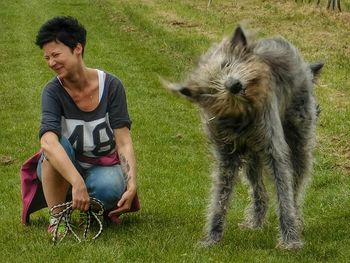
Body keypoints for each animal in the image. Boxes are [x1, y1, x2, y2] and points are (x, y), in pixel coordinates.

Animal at [163, 24, 322, 250]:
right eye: (212, 86)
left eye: (227, 64)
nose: (234, 85)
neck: (242, 115)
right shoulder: (227, 156)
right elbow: (220, 197)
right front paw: (212, 237)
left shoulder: (273, 148)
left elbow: (284, 193)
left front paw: (290, 239)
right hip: (251, 158)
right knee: (259, 190)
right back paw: (256, 221)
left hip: (298, 139)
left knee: (296, 185)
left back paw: (296, 217)